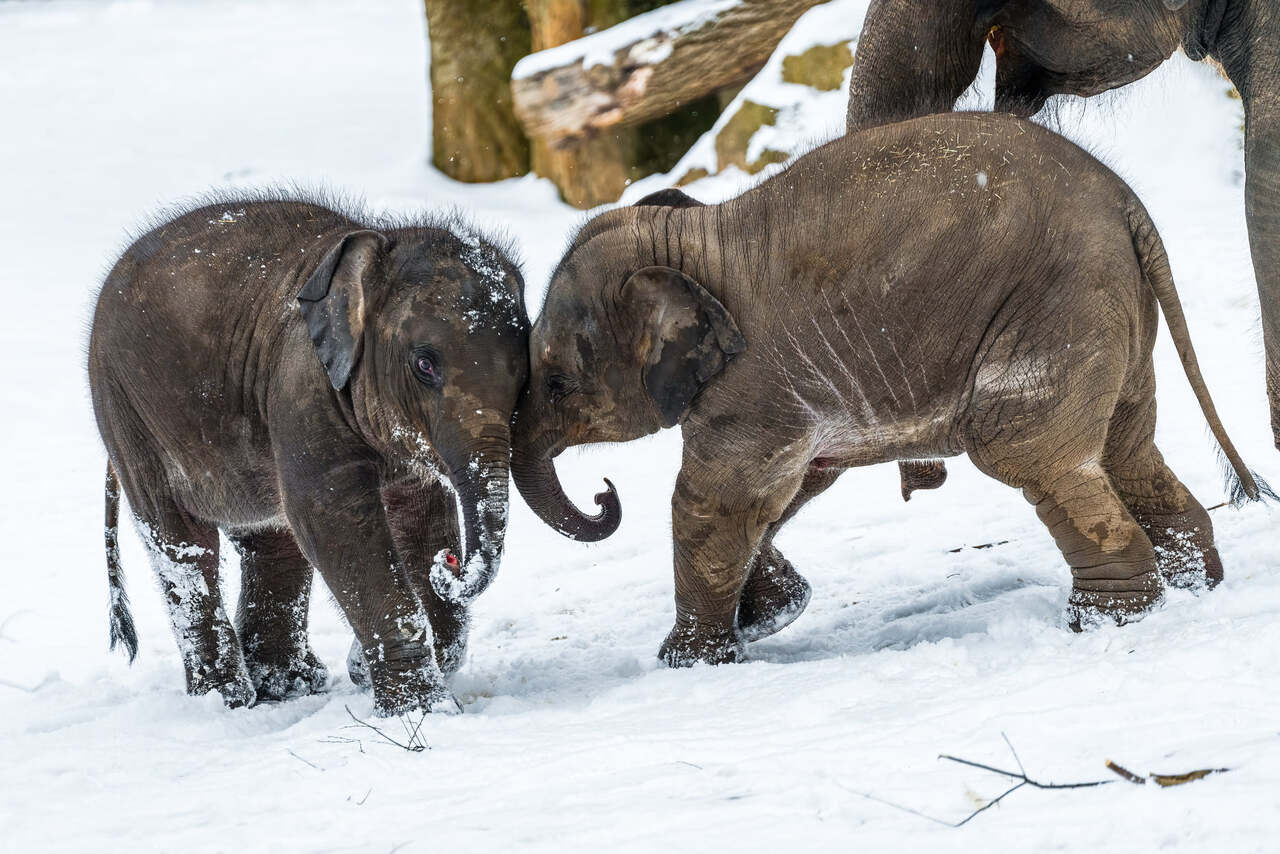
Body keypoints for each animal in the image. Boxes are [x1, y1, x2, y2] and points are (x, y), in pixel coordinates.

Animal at [90, 193, 527, 717]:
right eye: (425, 364)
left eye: (526, 374)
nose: (451, 561)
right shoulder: (302, 384)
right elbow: (330, 518)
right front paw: (422, 712)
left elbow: (418, 516)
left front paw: (368, 669)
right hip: (127, 412)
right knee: (182, 544)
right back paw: (227, 702)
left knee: (271, 538)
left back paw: (286, 686)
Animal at [506, 110, 1259, 665]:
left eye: (557, 382)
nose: (605, 494)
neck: (687, 239)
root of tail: (1128, 203)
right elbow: (790, 490)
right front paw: (774, 612)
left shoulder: (754, 381)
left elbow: (718, 499)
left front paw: (688, 661)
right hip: (1113, 317)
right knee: (1125, 446)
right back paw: (1195, 584)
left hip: (1055, 309)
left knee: (1027, 453)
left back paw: (1106, 623)